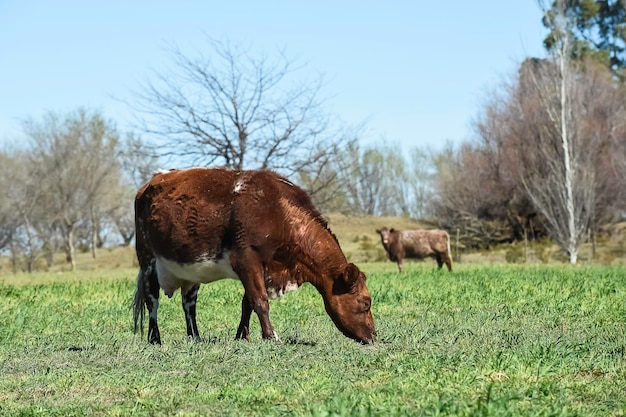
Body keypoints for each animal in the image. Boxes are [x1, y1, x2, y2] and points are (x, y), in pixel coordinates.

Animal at [132, 167, 376, 342]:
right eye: (365, 303)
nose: (374, 336)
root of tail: (151, 182)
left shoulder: (263, 268)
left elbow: (247, 302)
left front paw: (243, 336)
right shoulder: (246, 259)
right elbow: (260, 300)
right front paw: (271, 336)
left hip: (190, 270)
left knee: (189, 303)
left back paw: (195, 337)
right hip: (148, 260)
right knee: (152, 300)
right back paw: (155, 339)